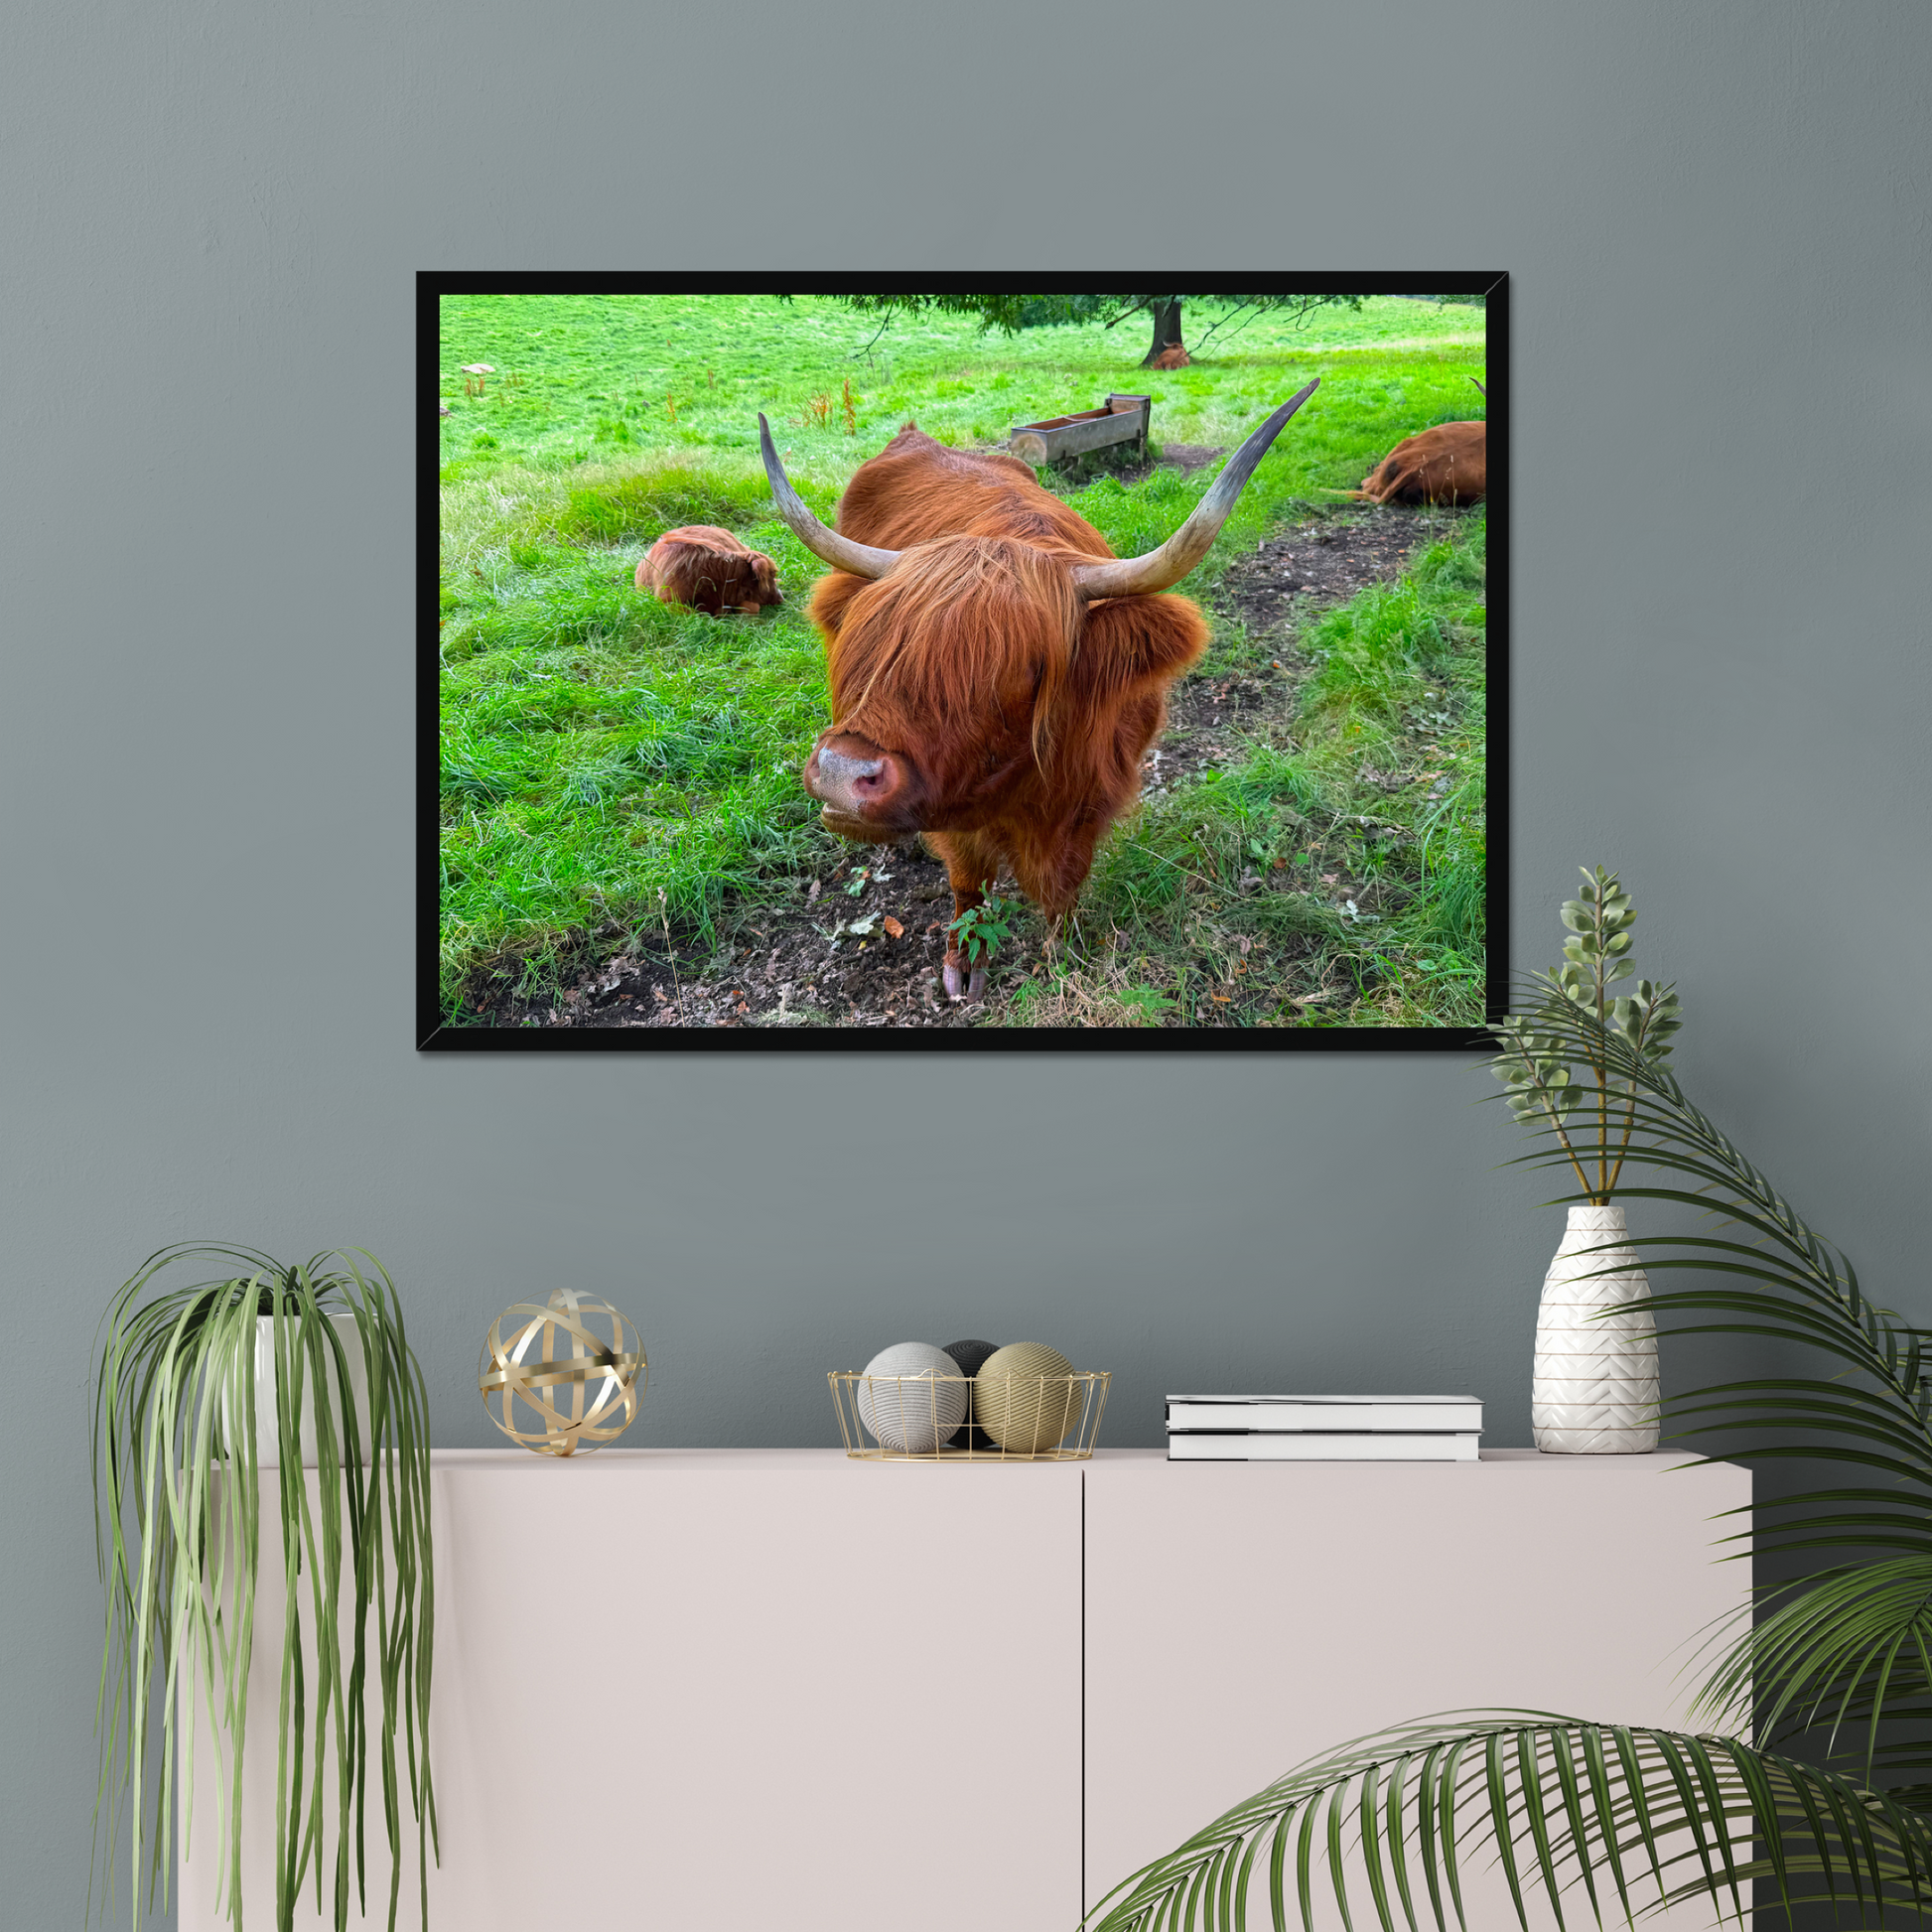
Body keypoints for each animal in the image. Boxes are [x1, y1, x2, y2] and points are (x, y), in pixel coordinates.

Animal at [757, 381, 1319, 999]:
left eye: (1023, 667)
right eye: (875, 641)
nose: (841, 771)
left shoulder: (1093, 796)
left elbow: (1064, 884)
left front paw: (1062, 952)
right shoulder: (955, 812)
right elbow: (968, 880)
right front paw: (963, 962)